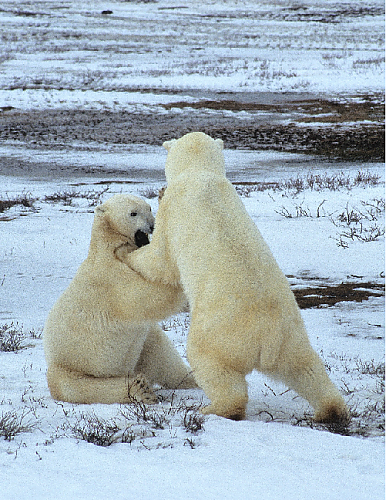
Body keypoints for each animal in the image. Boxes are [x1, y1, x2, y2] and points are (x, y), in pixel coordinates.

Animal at [43, 193, 196, 404]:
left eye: (148, 208)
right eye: (133, 213)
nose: (152, 225)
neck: (110, 247)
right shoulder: (110, 277)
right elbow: (143, 296)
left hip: (143, 342)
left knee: (161, 356)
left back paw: (191, 379)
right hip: (70, 365)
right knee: (82, 387)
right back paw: (140, 389)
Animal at [117, 132, 350, 422]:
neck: (200, 173)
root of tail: (267, 337)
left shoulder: (174, 211)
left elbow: (161, 260)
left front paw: (127, 255)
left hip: (218, 334)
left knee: (212, 366)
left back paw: (214, 408)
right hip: (291, 337)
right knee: (306, 368)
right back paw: (330, 409)